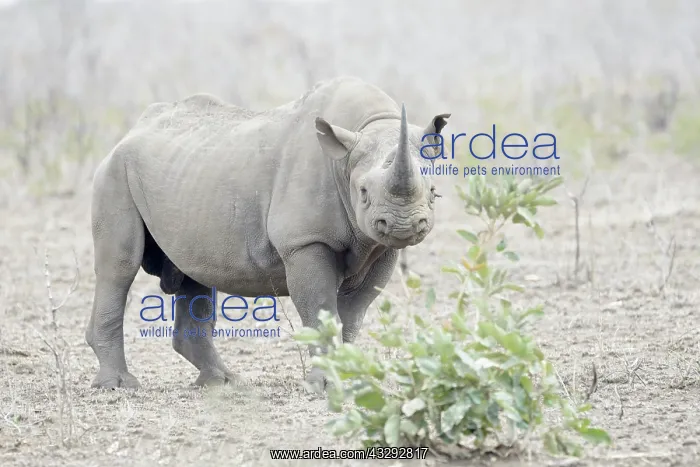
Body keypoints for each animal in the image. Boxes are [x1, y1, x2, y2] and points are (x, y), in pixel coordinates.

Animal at [86, 76, 450, 389]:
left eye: (434, 192)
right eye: (362, 192)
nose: (403, 226)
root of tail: (132, 129)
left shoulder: (381, 247)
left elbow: (351, 316)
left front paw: (347, 378)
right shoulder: (304, 241)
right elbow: (321, 310)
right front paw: (325, 384)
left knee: (195, 274)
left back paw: (223, 383)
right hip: (114, 172)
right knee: (119, 268)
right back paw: (119, 385)